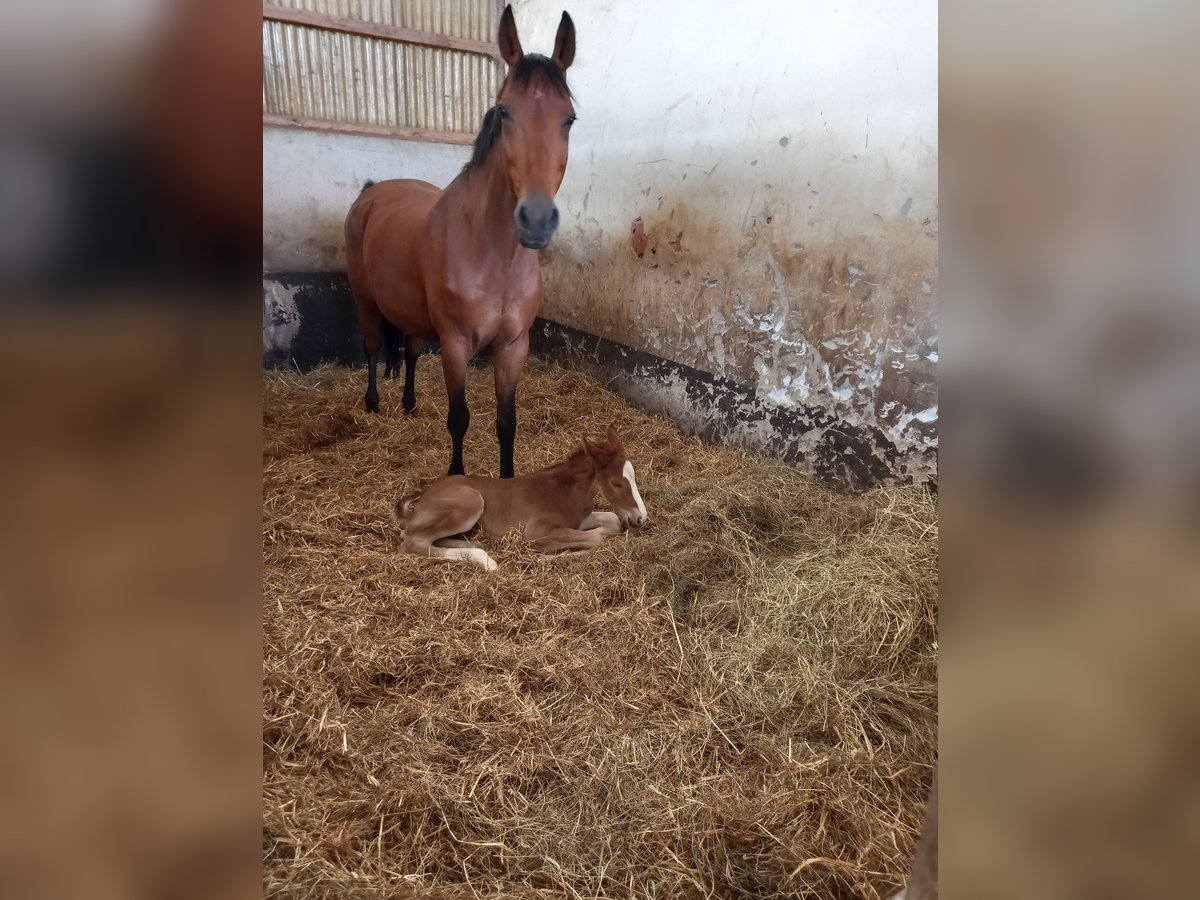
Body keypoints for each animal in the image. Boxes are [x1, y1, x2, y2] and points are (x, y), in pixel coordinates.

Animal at [343, 5, 576, 480]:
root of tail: (371, 193)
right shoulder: (454, 345)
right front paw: (455, 479)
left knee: (411, 351)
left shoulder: (512, 347)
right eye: (504, 111)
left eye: (569, 119)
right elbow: (460, 418)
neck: (495, 256)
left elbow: (506, 422)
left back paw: (409, 404)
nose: (536, 220)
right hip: (366, 299)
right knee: (373, 346)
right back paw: (373, 403)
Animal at [391, 427, 648, 571]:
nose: (641, 518)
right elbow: (596, 540)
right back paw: (487, 561)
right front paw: (544, 558)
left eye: (634, 476)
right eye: (616, 483)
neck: (565, 491)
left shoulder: (578, 519)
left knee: (416, 536)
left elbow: (612, 520)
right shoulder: (536, 531)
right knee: (413, 542)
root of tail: (423, 498)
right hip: (471, 502)